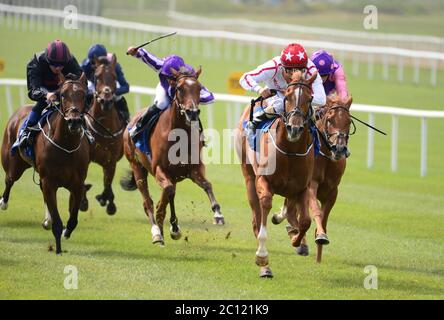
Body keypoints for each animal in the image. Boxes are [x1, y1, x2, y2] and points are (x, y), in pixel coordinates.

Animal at [0, 73, 90, 255]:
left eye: (83, 95)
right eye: (63, 95)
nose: (74, 121)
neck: (66, 146)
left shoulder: (77, 184)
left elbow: (73, 220)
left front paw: (66, 232)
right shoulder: (50, 182)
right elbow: (57, 222)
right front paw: (58, 250)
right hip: (14, 164)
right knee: (9, 180)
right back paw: (3, 203)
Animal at [84, 54, 125, 215]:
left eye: (114, 76)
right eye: (96, 76)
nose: (106, 101)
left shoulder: (111, 160)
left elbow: (107, 183)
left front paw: (107, 201)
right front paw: (83, 201)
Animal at [119, 66, 224, 244]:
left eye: (199, 88)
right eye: (180, 88)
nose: (192, 112)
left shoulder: (193, 168)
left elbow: (207, 185)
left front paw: (218, 214)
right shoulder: (160, 169)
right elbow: (168, 193)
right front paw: (173, 227)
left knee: (162, 202)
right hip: (137, 167)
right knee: (149, 202)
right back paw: (156, 232)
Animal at [234, 70, 318, 278]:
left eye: (309, 97)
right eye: (287, 96)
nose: (294, 128)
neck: (289, 151)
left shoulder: (302, 187)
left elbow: (305, 221)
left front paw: (297, 240)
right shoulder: (264, 181)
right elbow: (264, 209)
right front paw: (262, 257)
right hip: (249, 176)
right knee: (256, 219)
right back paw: (265, 266)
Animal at [270, 95, 354, 262]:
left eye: (348, 121)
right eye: (330, 120)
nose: (339, 148)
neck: (326, 157)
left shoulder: (333, 191)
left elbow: (323, 217)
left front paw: (319, 250)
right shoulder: (310, 185)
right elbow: (315, 212)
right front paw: (320, 236)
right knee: (292, 213)